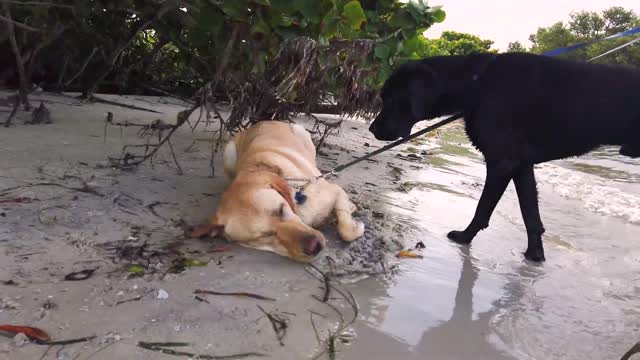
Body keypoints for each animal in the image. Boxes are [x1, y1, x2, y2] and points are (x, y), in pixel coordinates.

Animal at [368, 52, 640, 262]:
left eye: (389, 98)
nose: (371, 129)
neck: (477, 83)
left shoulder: (502, 162)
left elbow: (482, 209)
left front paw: (464, 237)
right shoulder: (521, 166)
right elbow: (530, 215)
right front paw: (534, 255)